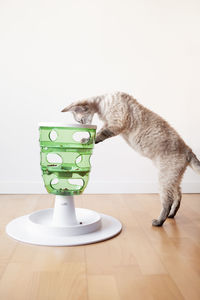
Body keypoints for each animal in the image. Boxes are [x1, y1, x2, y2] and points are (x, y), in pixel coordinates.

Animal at [62, 92, 200, 227]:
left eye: (81, 120)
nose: (83, 125)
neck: (102, 104)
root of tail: (188, 149)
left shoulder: (116, 124)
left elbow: (99, 135)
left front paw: (86, 139)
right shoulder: (109, 124)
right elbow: (100, 133)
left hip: (165, 178)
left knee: (168, 201)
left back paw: (159, 222)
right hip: (173, 178)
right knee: (178, 196)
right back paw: (171, 215)